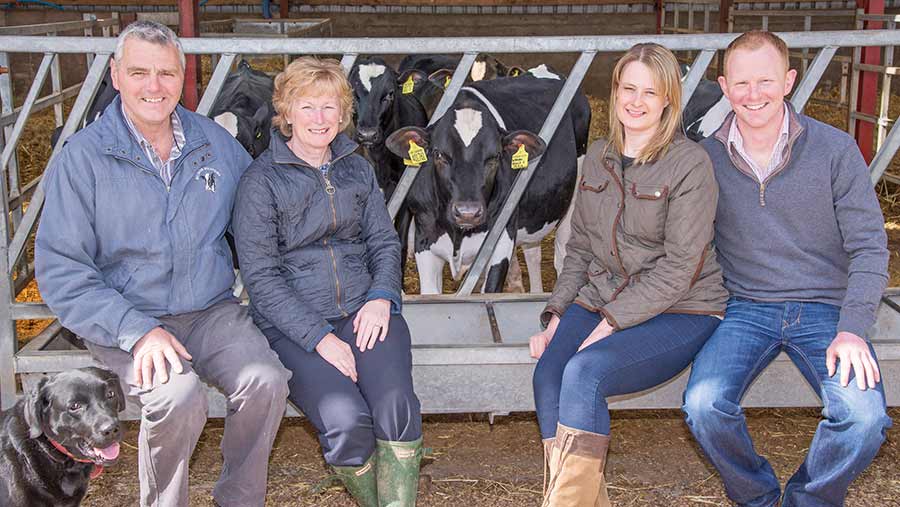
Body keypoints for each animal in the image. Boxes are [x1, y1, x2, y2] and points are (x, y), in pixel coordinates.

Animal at [386, 73, 592, 292]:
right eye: (439, 154)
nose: (467, 212)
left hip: (573, 200)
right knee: (532, 252)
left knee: (562, 256)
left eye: (495, 157)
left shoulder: (500, 242)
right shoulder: (425, 241)